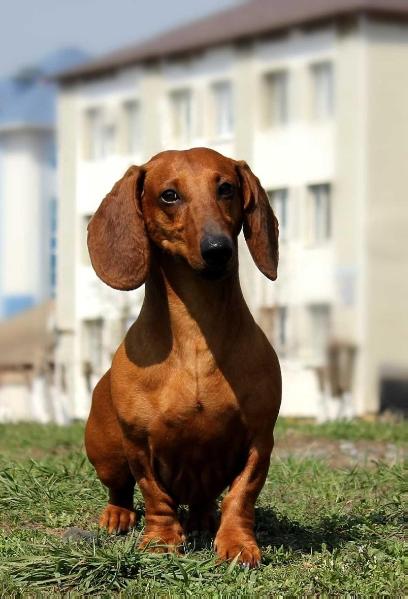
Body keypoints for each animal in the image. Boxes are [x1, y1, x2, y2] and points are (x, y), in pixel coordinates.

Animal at [84, 146, 282, 568]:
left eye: (226, 188)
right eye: (169, 195)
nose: (218, 250)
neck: (196, 335)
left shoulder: (260, 441)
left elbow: (241, 497)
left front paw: (237, 544)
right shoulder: (139, 446)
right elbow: (155, 496)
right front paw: (161, 541)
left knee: (205, 501)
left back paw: (204, 521)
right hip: (107, 454)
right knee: (120, 490)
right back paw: (117, 515)